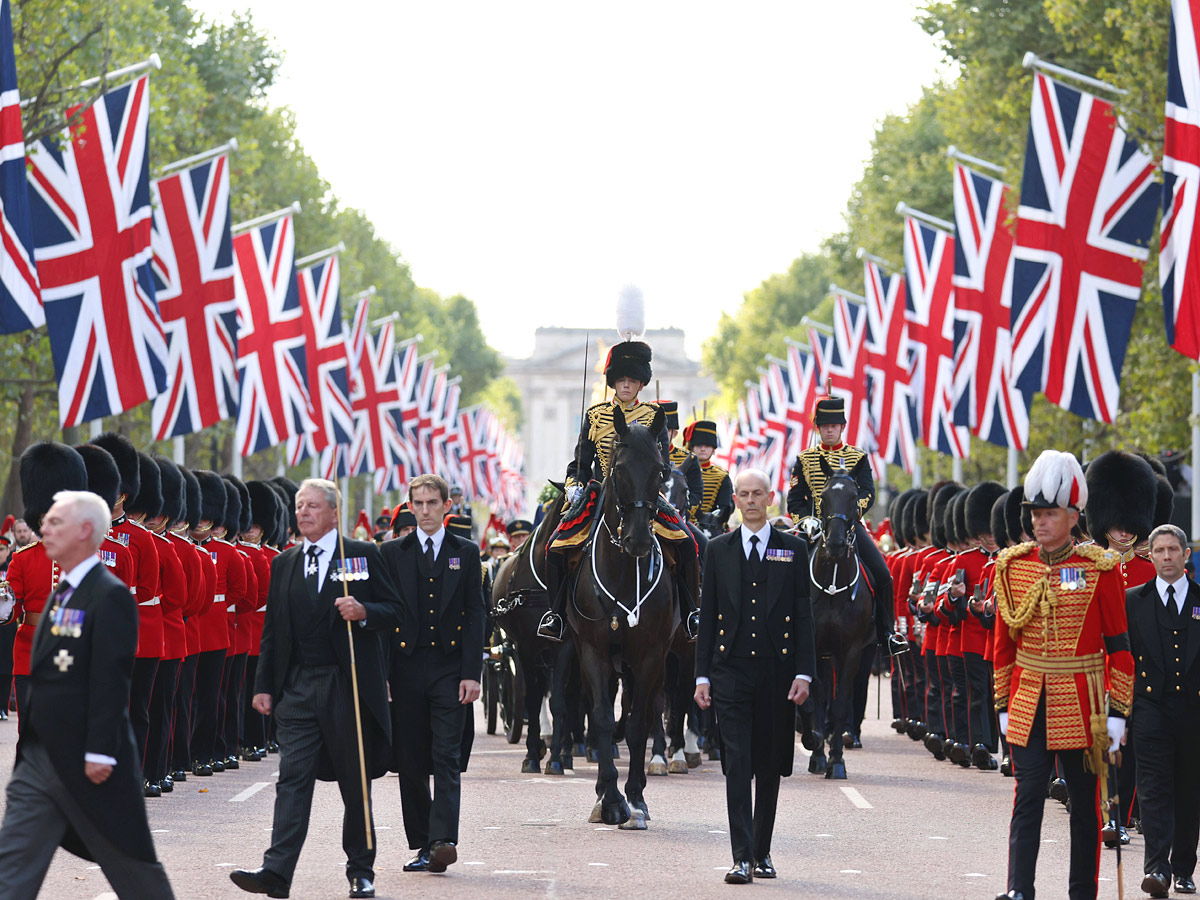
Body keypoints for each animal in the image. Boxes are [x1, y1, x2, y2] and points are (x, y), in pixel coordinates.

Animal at [568, 408, 681, 830]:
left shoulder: (651, 656)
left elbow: (636, 725)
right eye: (617, 470)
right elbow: (601, 718)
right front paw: (611, 799)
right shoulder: (593, 652)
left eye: (660, 471)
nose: (638, 541)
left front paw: (635, 800)